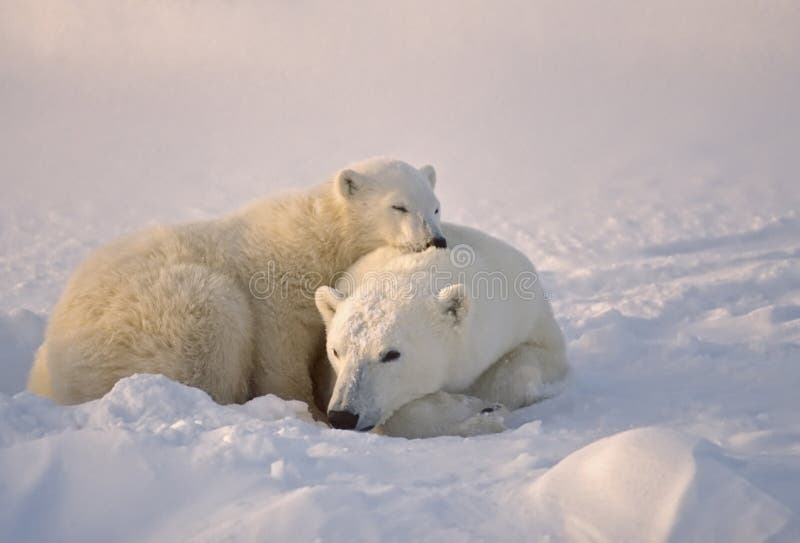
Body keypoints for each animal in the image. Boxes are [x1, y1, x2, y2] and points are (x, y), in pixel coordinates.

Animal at [28, 158, 444, 420]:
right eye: (399, 206)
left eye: (436, 207)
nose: (435, 240)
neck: (321, 238)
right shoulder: (277, 289)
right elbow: (281, 356)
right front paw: (307, 412)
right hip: (152, 320)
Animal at [312, 223, 568, 440]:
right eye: (336, 351)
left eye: (391, 354)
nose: (343, 416)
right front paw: (477, 411)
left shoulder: (523, 311)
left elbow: (538, 357)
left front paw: (487, 403)